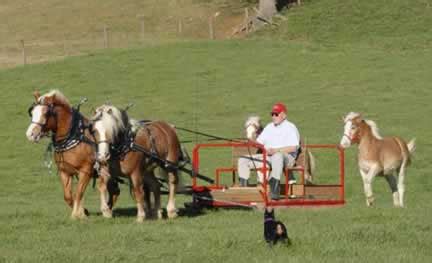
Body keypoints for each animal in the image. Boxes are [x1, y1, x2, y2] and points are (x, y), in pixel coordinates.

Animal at [25, 89, 98, 220]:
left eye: (45, 113)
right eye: (32, 112)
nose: (30, 134)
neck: (74, 137)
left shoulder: (86, 171)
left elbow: (79, 193)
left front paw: (76, 215)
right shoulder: (64, 171)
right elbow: (68, 196)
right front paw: (83, 211)